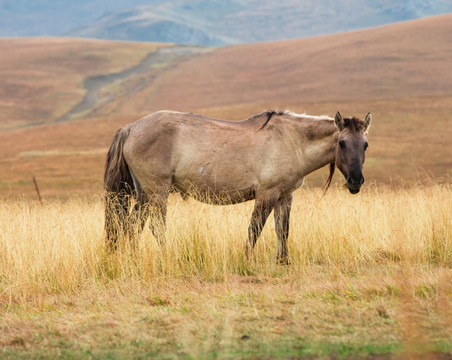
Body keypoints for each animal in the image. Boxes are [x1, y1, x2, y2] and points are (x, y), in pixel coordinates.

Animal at [105, 108, 370, 262]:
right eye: (342, 143)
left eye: (365, 144)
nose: (356, 181)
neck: (291, 140)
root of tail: (130, 128)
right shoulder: (267, 195)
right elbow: (254, 230)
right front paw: (246, 260)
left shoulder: (285, 196)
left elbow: (282, 231)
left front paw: (283, 262)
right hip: (157, 192)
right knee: (156, 226)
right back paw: (167, 256)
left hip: (144, 194)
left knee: (132, 225)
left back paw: (132, 256)